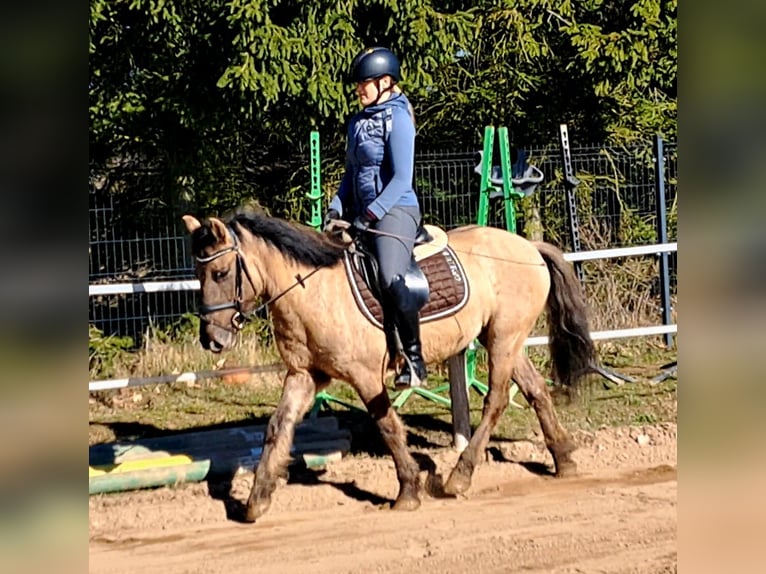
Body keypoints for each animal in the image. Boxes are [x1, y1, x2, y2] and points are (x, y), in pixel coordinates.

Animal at [182, 210, 596, 523]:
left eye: (220, 273)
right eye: (199, 275)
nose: (212, 339)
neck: (313, 292)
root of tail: (527, 245)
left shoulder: (365, 376)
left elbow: (388, 427)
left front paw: (408, 491)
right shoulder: (305, 375)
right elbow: (276, 428)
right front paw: (257, 500)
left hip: (503, 340)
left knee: (495, 400)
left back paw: (459, 477)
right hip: (505, 340)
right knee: (535, 390)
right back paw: (564, 459)